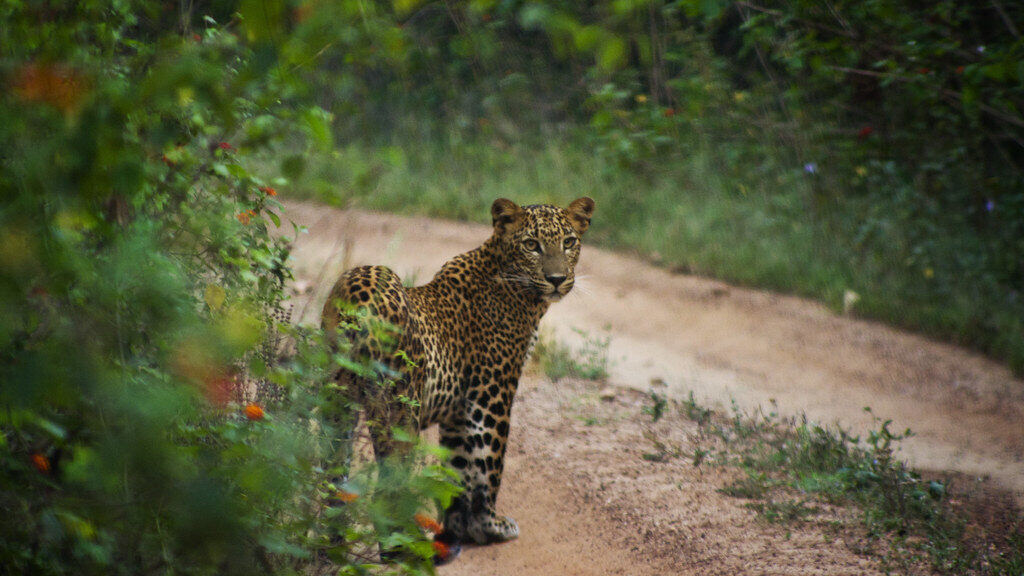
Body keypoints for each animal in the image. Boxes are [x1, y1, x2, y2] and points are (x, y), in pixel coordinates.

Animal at [321, 197, 595, 553]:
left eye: (569, 242)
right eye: (531, 245)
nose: (557, 278)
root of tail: (359, 294)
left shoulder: (459, 408)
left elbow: (459, 466)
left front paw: (461, 526)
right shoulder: (492, 394)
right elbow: (489, 462)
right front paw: (490, 526)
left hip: (338, 401)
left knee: (331, 476)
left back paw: (330, 544)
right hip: (399, 408)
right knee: (389, 482)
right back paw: (405, 547)